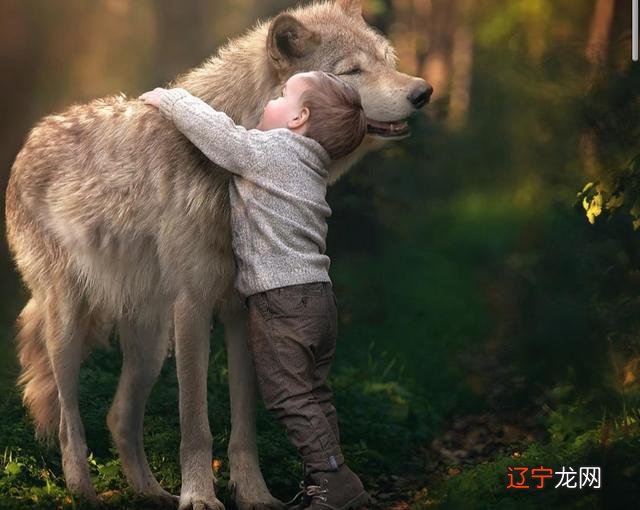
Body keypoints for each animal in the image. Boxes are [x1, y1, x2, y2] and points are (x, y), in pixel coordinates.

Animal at [3, 1, 430, 508]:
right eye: (352, 71)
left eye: (386, 60)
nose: (423, 92)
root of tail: (30, 139)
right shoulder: (194, 304)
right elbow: (196, 424)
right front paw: (200, 497)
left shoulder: (241, 311)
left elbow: (244, 425)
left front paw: (255, 494)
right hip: (71, 326)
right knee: (70, 420)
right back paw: (84, 492)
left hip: (150, 345)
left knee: (118, 417)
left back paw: (151, 494)